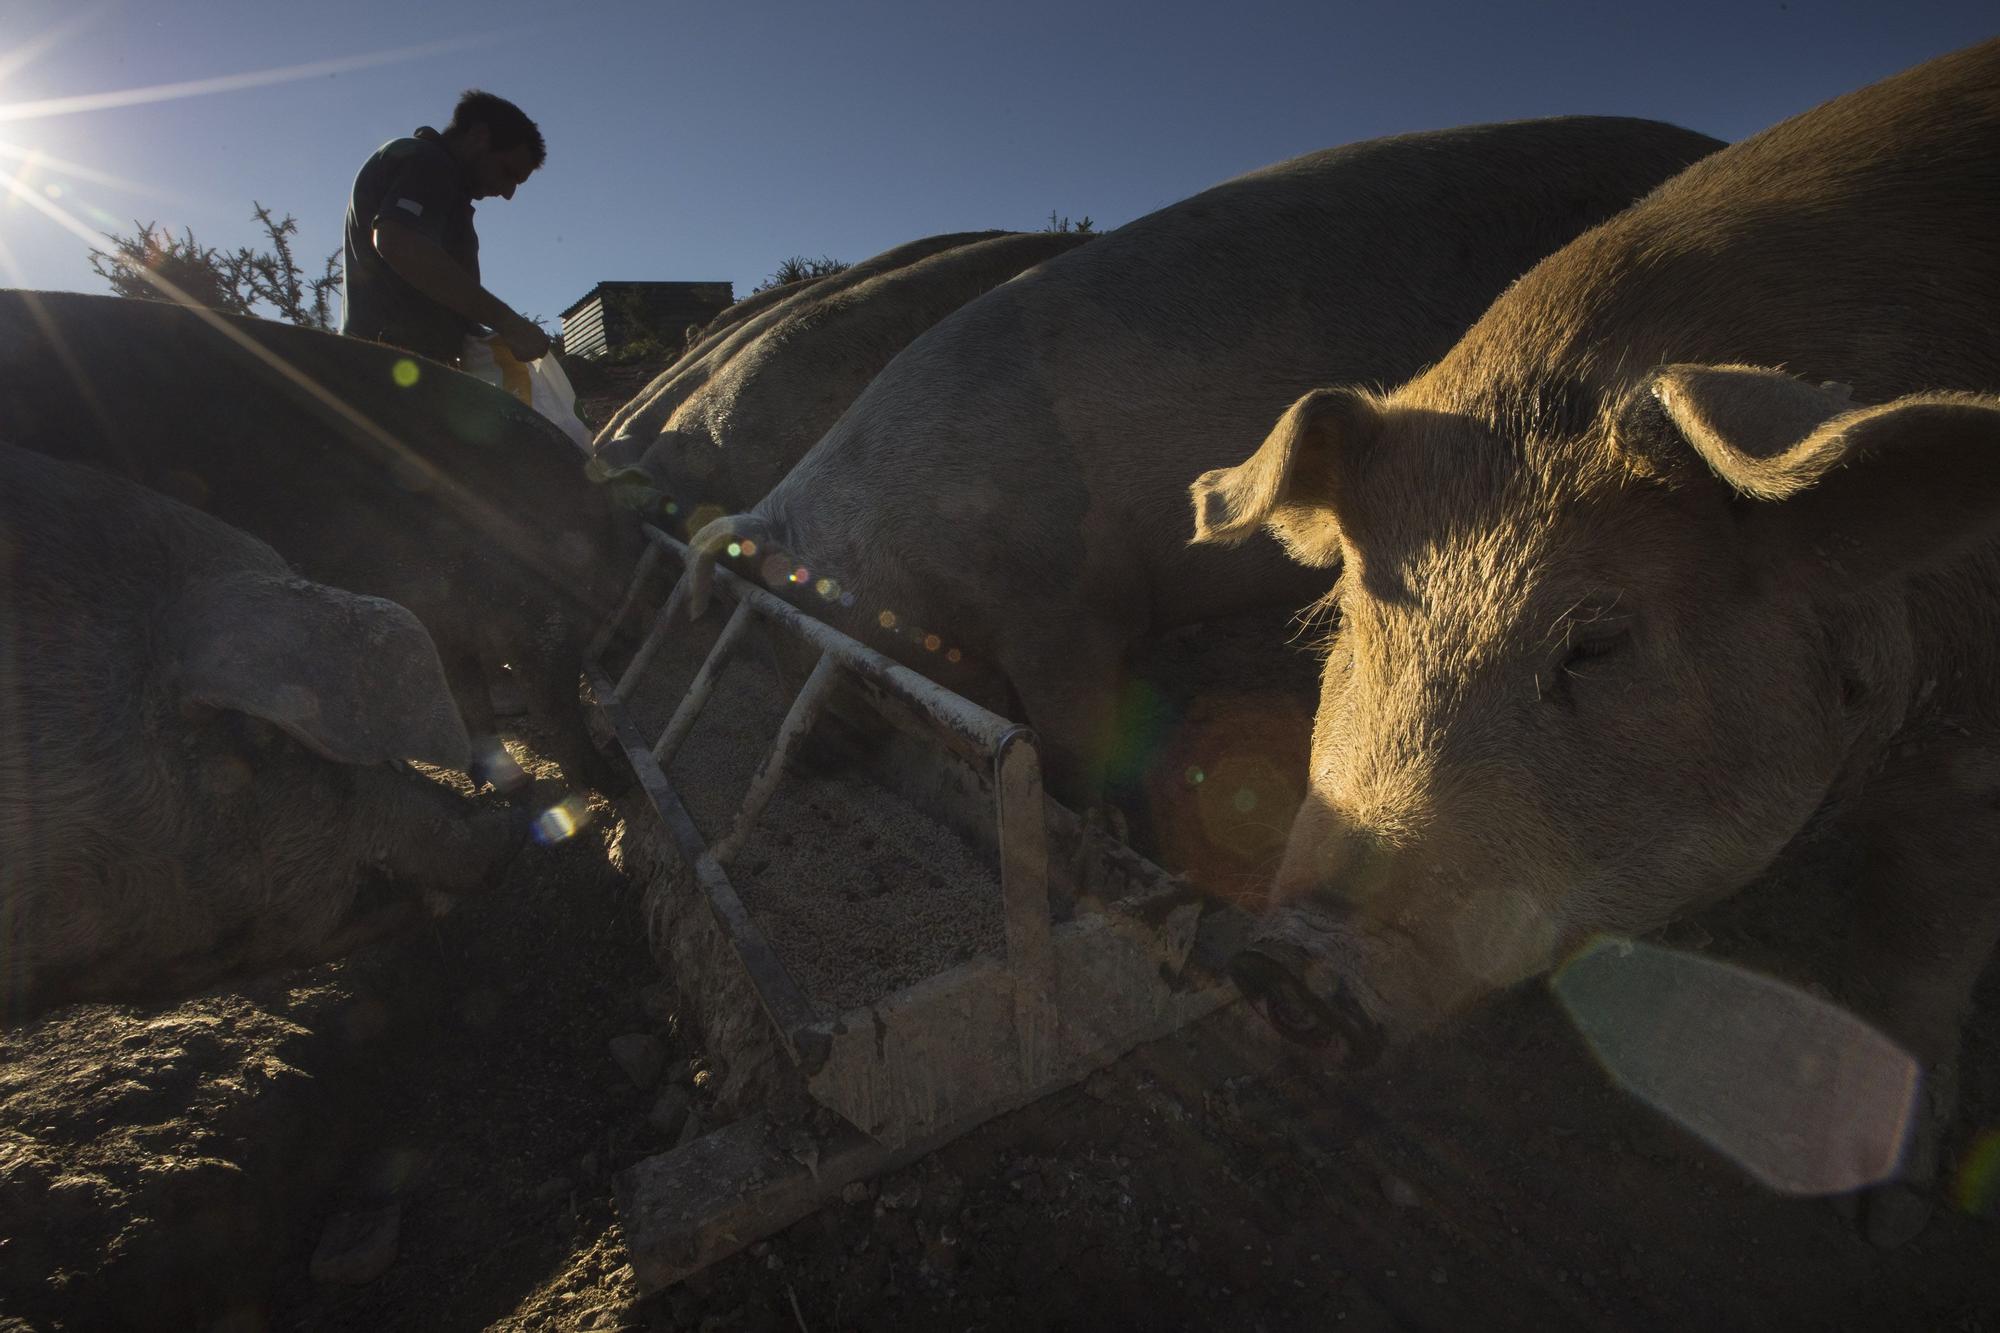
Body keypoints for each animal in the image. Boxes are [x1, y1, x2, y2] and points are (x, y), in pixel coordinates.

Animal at [0, 290, 632, 788]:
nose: (617, 774)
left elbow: (469, 693)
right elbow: (524, 692)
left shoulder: (442, 613)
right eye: (572, 553)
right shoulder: (497, 610)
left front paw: (510, 780)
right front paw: (585, 780)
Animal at [1184, 41, 2000, 1248]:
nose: (1289, 962)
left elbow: (1922, 946)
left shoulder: (1967, 756)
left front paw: (1882, 1219)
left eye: (1600, 641)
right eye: (1355, 620)